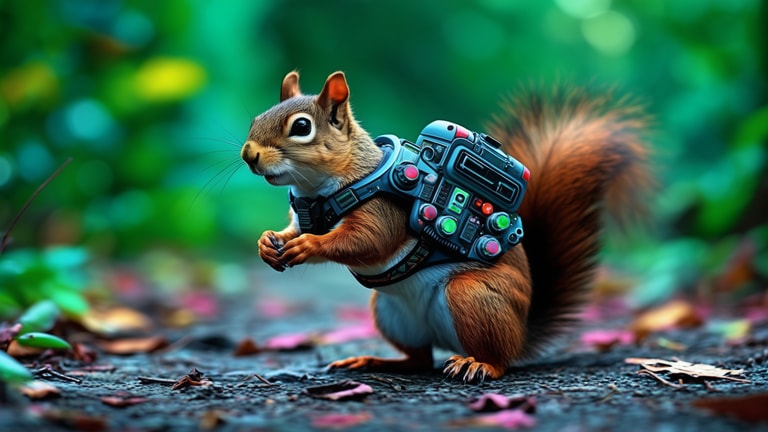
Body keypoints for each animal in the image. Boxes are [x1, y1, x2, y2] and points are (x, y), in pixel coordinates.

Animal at [240, 71, 650, 382]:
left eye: (301, 127)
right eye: (256, 119)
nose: (248, 154)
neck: (315, 194)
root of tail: (521, 333)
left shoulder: (384, 210)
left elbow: (365, 241)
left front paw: (308, 246)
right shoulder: (301, 213)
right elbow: (290, 231)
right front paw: (268, 242)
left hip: (472, 297)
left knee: (498, 359)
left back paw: (478, 364)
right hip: (392, 315)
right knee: (420, 360)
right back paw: (373, 361)